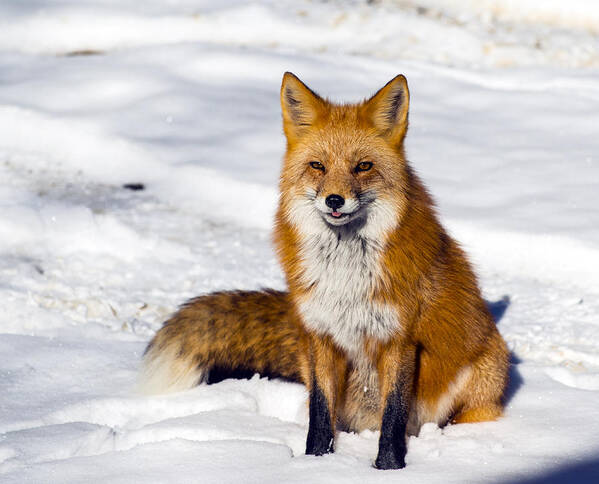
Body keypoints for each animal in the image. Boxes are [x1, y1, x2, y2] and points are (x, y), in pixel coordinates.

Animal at [142, 72, 510, 468]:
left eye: (363, 166)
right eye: (318, 165)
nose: (335, 200)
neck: (344, 275)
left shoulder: (400, 338)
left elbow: (393, 416)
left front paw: (388, 468)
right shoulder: (320, 335)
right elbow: (320, 412)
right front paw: (315, 463)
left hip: (480, 377)